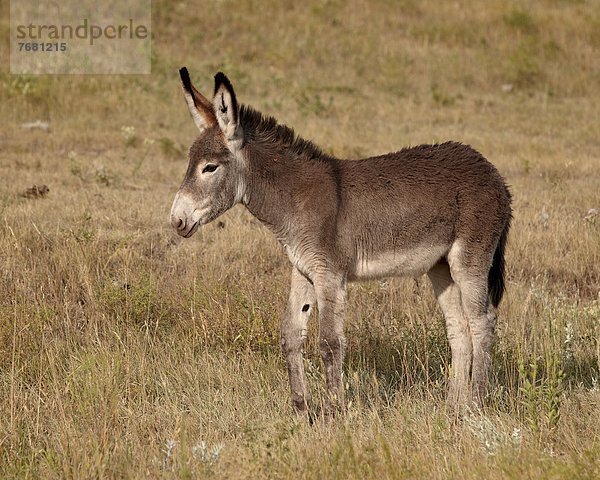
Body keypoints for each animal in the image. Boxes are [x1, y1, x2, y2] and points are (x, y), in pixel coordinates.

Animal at [171, 68, 512, 416]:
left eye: (209, 167)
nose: (177, 221)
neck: (296, 200)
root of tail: (490, 170)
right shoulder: (303, 269)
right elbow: (291, 334)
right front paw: (301, 408)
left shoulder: (330, 274)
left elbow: (329, 342)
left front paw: (335, 411)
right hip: (440, 266)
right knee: (458, 328)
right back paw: (452, 408)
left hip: (471, 257)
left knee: (482, 322)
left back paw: (475, 405)